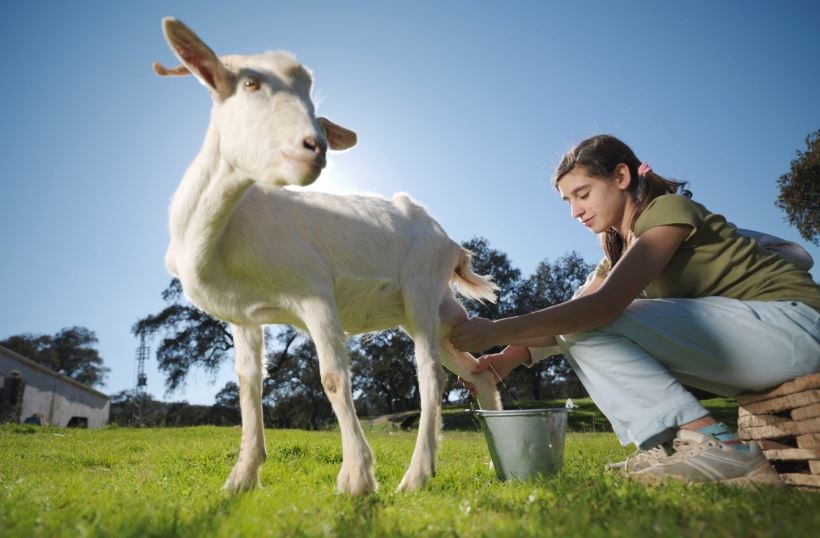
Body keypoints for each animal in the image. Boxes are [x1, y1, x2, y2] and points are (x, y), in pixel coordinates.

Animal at [153, 17, 500, 494]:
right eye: (250, 82)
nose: (314, 146)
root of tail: (449, 242)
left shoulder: (314, 292)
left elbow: (333, 378)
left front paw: (356, 478)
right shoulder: (243, 317)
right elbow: (248, 385)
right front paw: (241, 478)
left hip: (422, 290)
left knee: (431, 374)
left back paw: (415, 476)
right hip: (437, 313)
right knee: (477, 369)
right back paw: (496, 461)